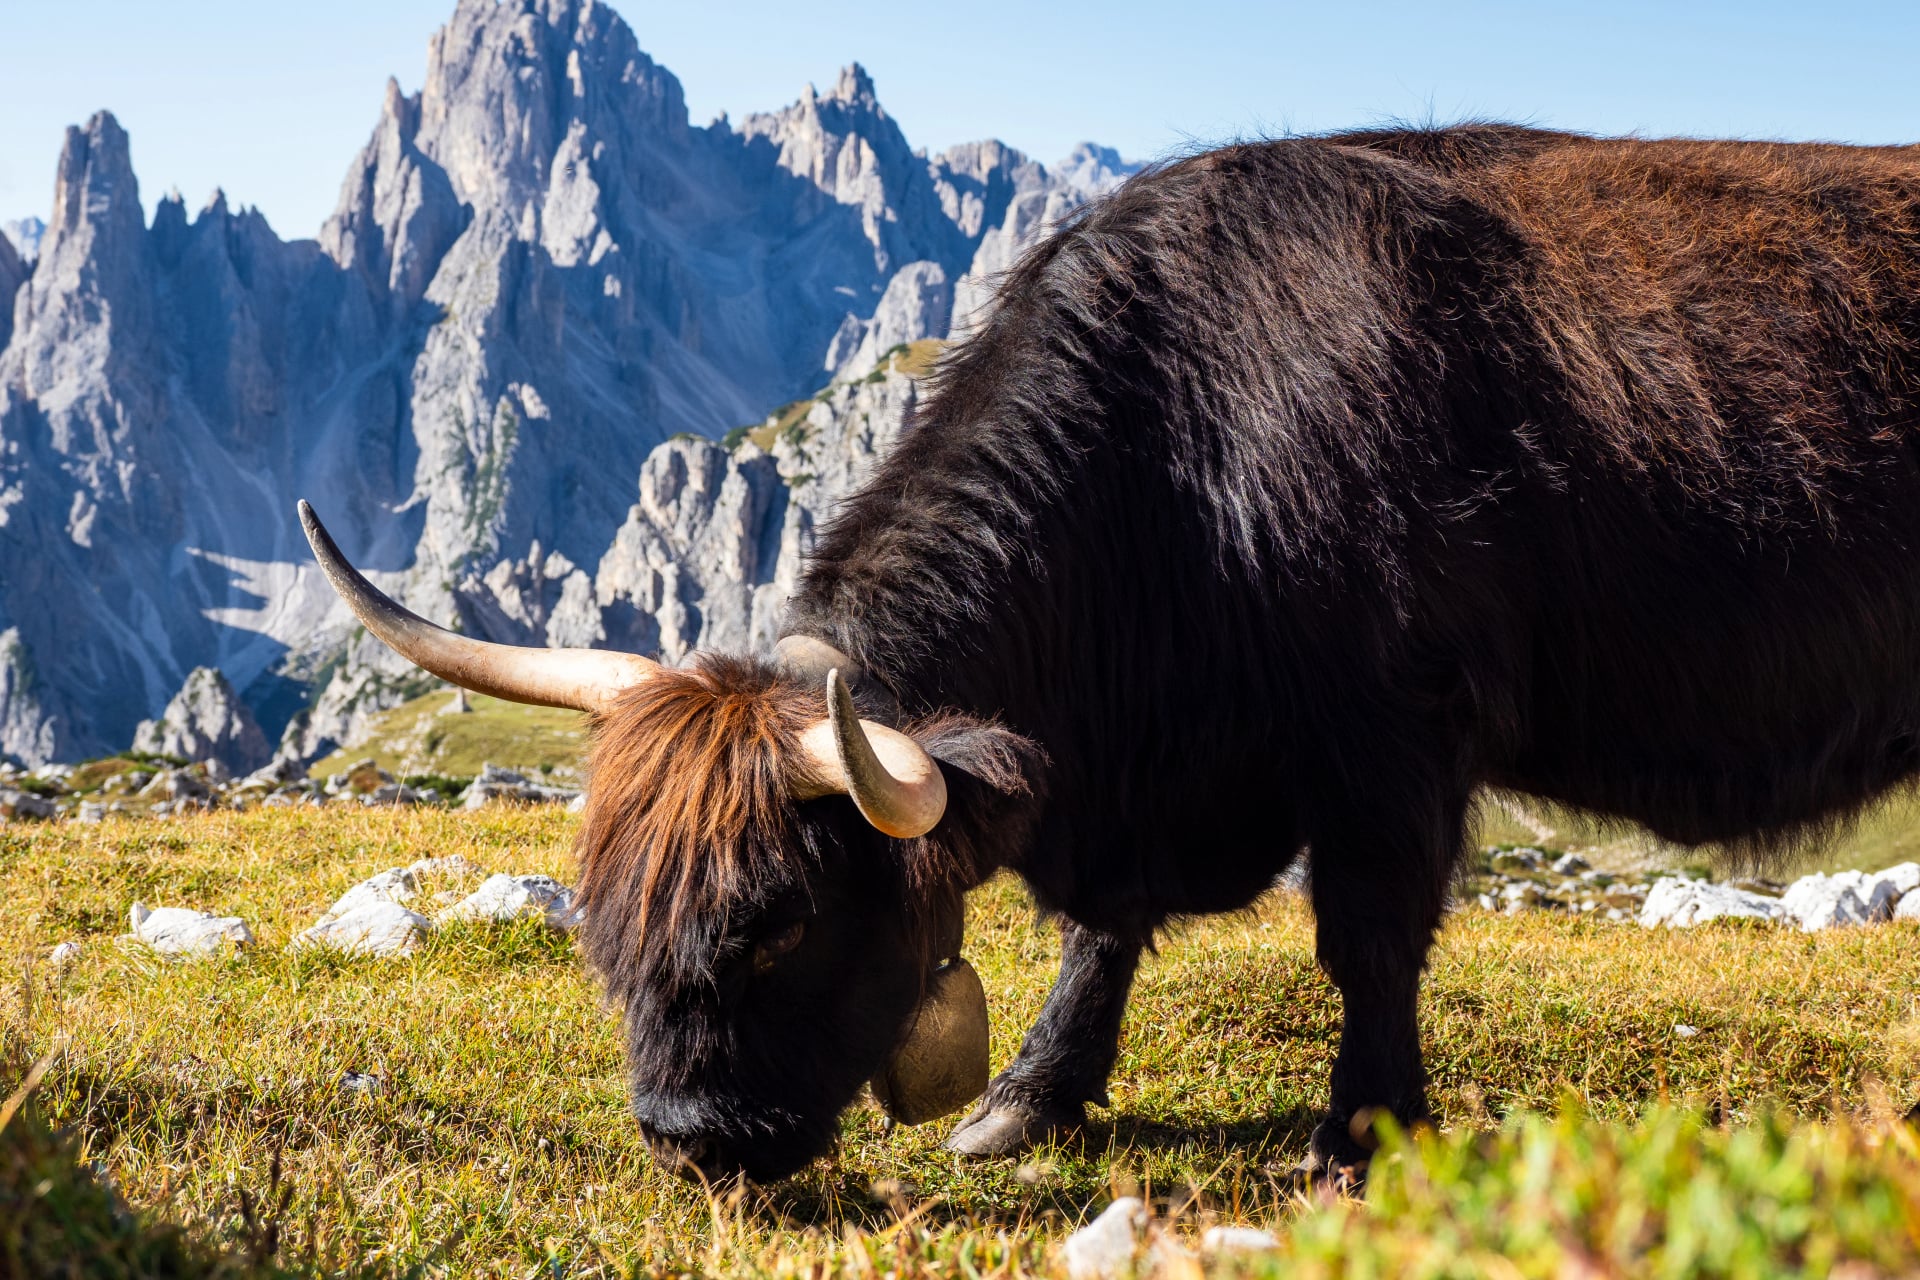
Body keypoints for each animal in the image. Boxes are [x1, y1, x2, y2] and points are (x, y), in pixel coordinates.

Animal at [301, 125, 1920, 1184]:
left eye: (779, 917)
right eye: (603, 916)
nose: (692, 1143)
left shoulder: (1394, 743)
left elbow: (1367, 940)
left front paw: (1361, 1138)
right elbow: (1101, 932)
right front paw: (1026, 1099)